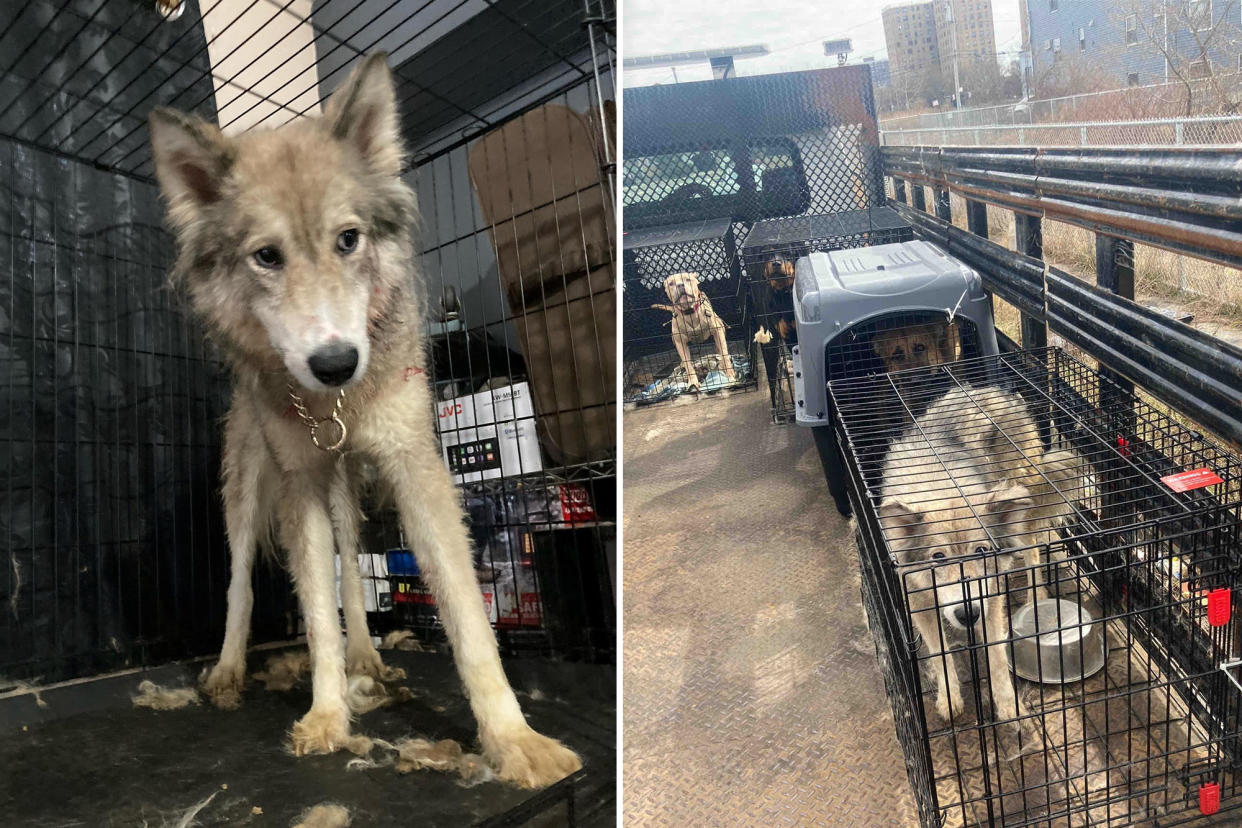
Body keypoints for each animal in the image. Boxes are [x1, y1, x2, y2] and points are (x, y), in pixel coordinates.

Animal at [147, 51, 583, 789]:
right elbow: (315, 615)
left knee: (352, 562)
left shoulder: (413, 467)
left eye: (348, 240)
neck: (335, 408)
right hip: (251, 488)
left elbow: (465, 617)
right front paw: (327, 717)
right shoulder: (298, 483)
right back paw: (230, 671)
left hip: (348, 487)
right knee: (241, 580)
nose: (335, 362)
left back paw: (367, 657)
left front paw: (514, 741)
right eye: (266, 257)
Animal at [874, 384, 1078, 720]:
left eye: (980, 550)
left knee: (1034, 553)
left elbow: (995, 653)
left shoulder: (990, 596)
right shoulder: (920, 603)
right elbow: (940, 654)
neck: (941, 487)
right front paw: (950, 698)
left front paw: (1007, 703)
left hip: (1021, 506)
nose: (967, 614)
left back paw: (1036, 598)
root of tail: (997, 390)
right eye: (938, 557)